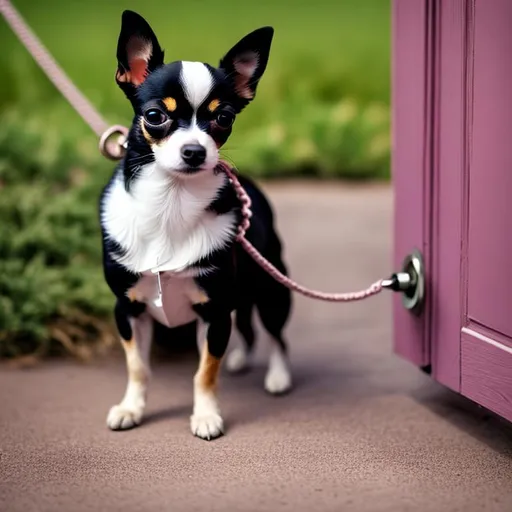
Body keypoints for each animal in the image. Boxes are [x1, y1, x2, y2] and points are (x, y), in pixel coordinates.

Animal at [100, 10, 292, 438]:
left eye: (224, 118)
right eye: (155, 116)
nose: (194, 151)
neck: (170, 203)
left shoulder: (215, 314)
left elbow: (205, 372)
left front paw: (206, 416)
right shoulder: (128, 310)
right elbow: (138, 368)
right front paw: (131, 408)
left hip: (272, 288)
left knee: (276, 335)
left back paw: (278, 376)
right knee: (250, 328)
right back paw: (241, 359)